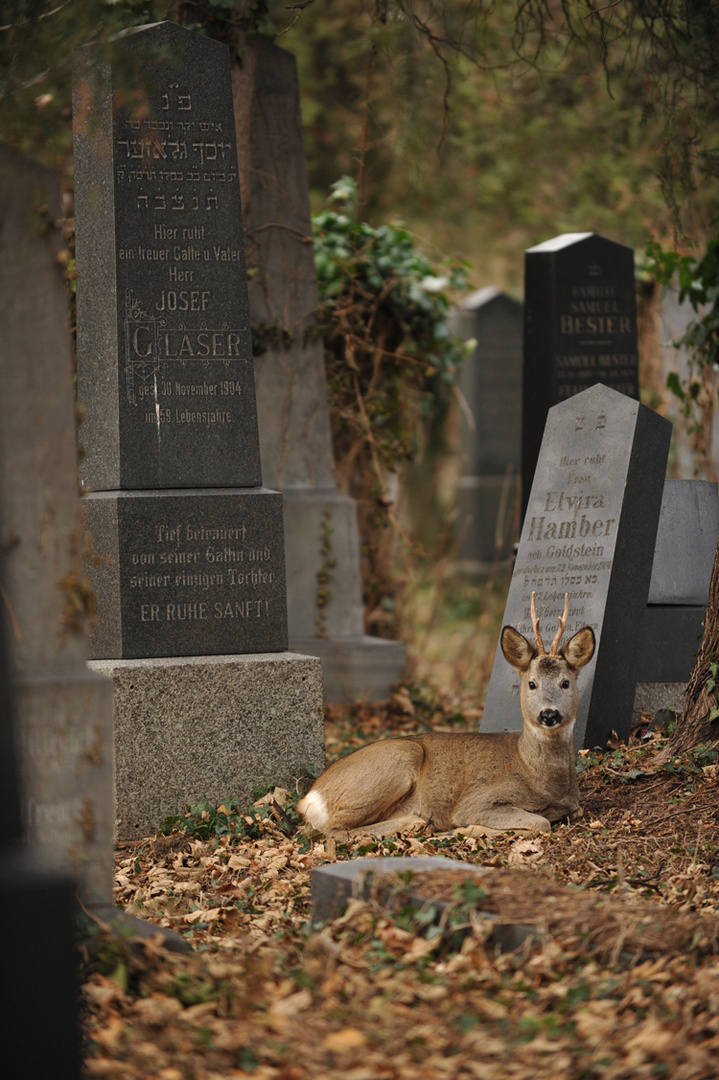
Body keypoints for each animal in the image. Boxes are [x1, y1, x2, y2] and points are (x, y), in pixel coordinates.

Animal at [295, 596, 591, 838]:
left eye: (565, 683)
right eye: (532, 684)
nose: (549, 714)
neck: (538, 775)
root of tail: (309, 799)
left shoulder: (573, 804)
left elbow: (572, 812)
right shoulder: (477, 800)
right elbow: (540, 822)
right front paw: (464, 829)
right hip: (398, 760)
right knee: (334, 830)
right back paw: (417, 823)